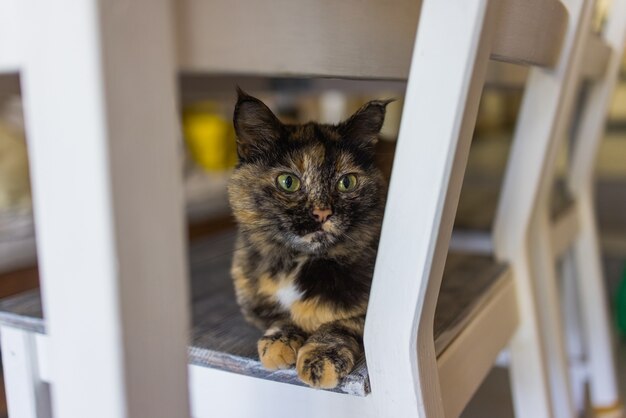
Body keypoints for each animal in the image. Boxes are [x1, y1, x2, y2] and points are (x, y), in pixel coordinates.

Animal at [227, 89, 388, 388]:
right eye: (288, 182)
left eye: (346, 182)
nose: (323, 212)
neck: (298, 262)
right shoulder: (254, 304)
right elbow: (281, 316)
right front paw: (278, 341)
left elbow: (341, 323)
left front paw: (320, 359)